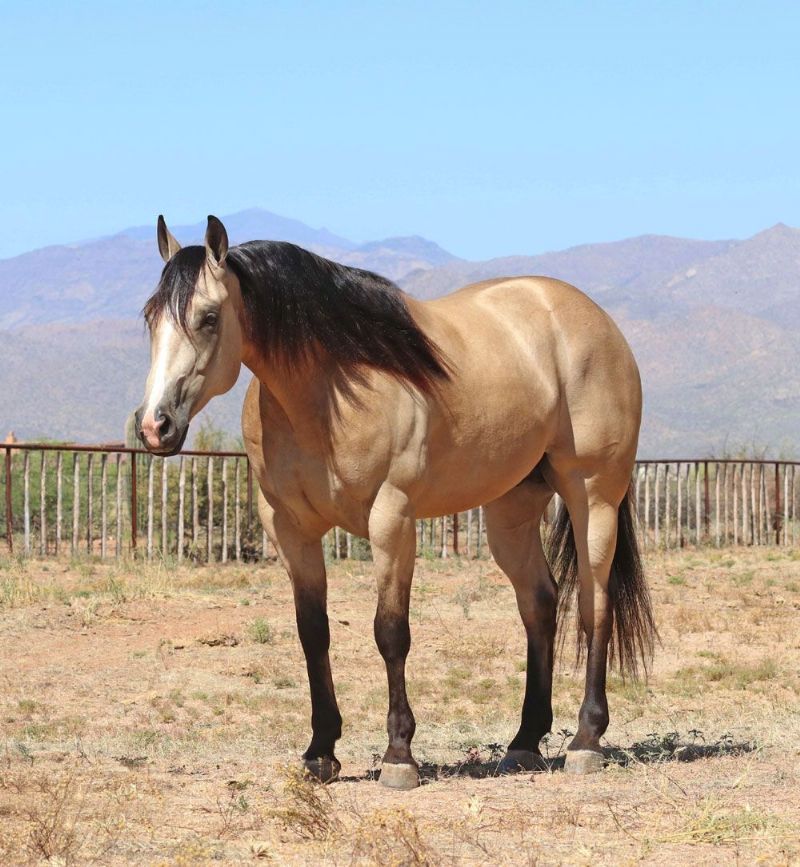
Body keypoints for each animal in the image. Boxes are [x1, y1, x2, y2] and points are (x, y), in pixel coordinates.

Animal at [134, 214, 655, 790]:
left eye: (207, 318)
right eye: (150, 317)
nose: (154, 426)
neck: (329, 395)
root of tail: (595, 322)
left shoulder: (392, 519)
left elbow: (390, 632)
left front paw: (399, 754)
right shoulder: (290, 529)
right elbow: (312, 633)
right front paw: (320, 751)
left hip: (593, 496)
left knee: (594, 605)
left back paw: (586, 741)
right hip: (511, 511)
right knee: (540, 604)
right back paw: (523, 743)